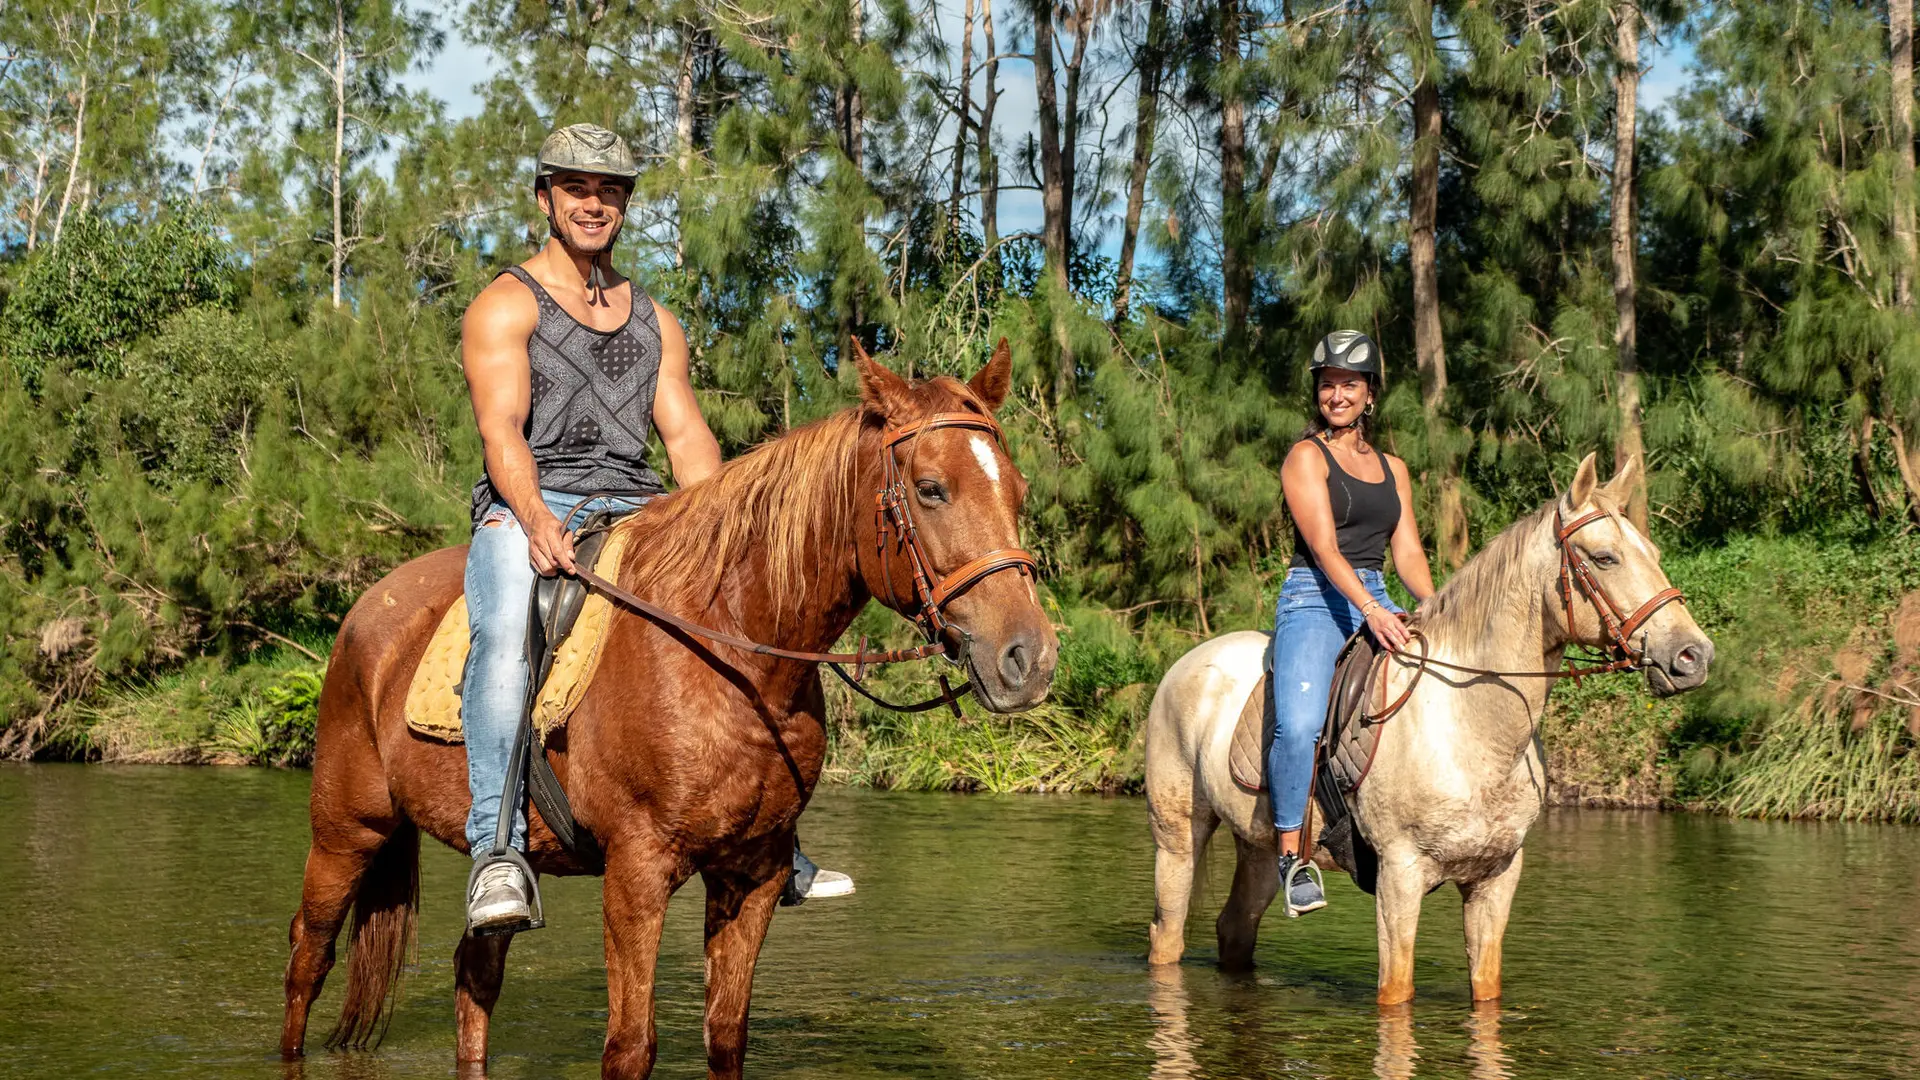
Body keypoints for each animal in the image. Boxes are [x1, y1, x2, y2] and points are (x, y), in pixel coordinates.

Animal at [278, 343, 1059, 1076]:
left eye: (1019, 490)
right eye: (930, 489)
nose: (1029, 658)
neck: (733, 654)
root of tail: (363, 615)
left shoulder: (753, 875)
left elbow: (726, 1036)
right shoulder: (637, 871)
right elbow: (630, 1046)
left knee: (475, 977)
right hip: (344, 834)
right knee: (307, 960)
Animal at [1144, 453, 1720, 999]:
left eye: (1655, 555)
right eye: (1604, 558)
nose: (1693, 656)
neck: (1472, 731)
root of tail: (1184, 663)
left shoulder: (1496, 878)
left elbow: (1486, 990)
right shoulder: (1400, 875)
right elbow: (1396, 991)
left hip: (1258, 848)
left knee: (1234, 928)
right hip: (1178, 837)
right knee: (1166, 935)